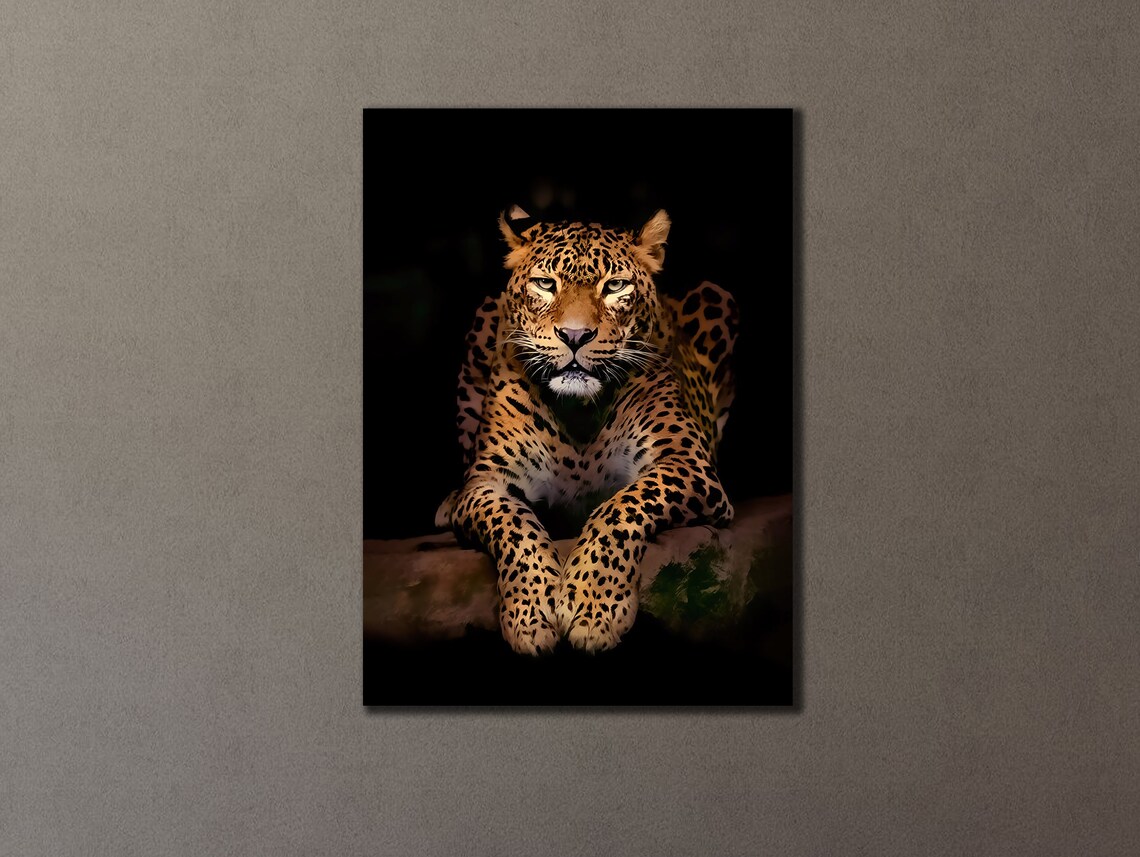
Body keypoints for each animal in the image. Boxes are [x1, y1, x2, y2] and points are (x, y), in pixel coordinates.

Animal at [435, 206, 739, 655]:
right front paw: (531, 614)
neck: (578, 411)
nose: (575, 336)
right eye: (546, 284)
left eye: (614, 286)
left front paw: (593, 609)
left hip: (716, 296)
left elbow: (621, 507)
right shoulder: (487, 482)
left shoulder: (687, 463)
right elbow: (514, 525)